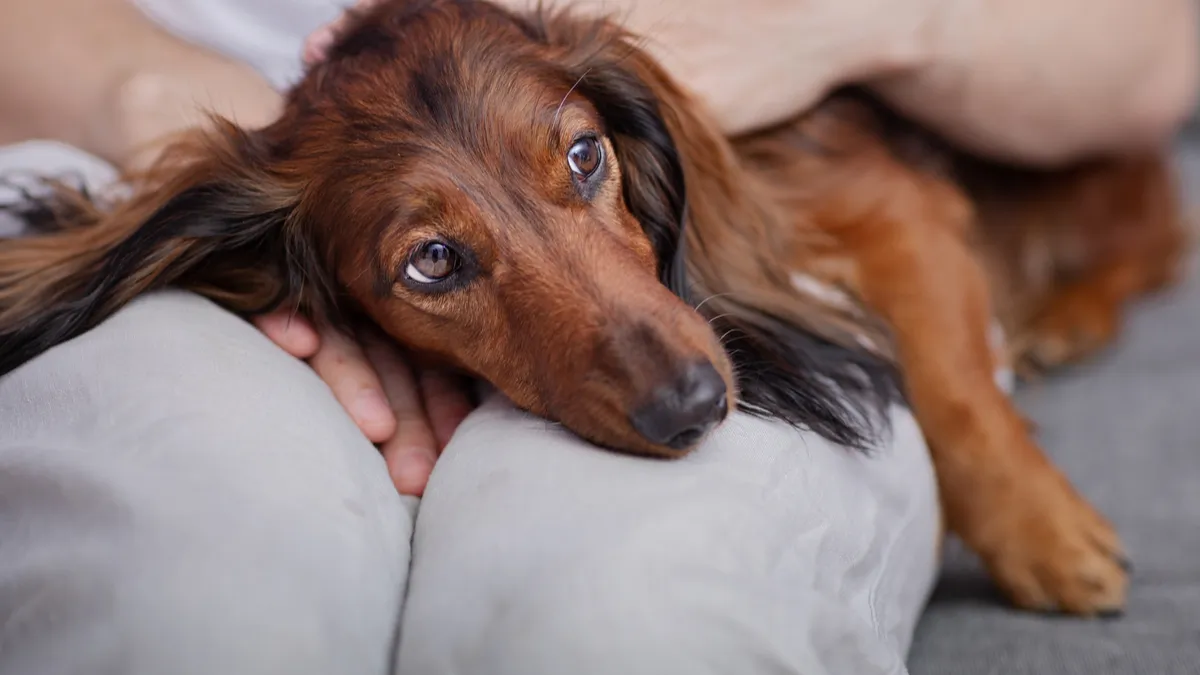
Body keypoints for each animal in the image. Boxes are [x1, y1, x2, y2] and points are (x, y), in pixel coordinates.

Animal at [0, 0, 1185, 612]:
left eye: (583, 156)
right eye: (433, 262)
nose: (695, 406)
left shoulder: (887, 200)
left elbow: (956, 391)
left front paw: (1044, 534)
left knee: (1158, 237)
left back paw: (1067, 314)